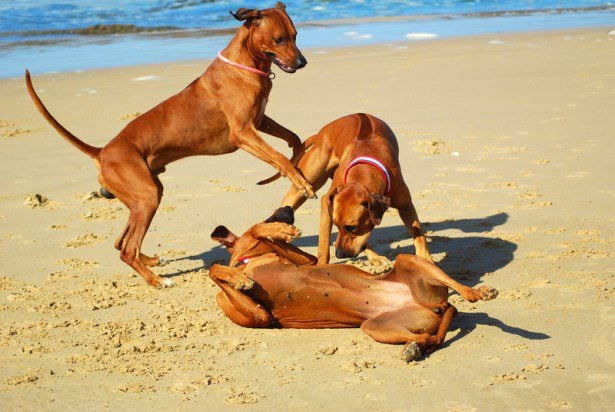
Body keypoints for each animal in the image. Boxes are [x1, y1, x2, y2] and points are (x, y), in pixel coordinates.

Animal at [24, 1, 316, 288]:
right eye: (279, 39)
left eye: (296, 36)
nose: (302, 62)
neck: (243, 65)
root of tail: (103, 151)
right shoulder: (243, 133)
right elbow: (278, 156)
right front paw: (301, 182)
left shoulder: (260, 120)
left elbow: (292, 138)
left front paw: (297, 160)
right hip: (147, 196)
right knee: (127, 249)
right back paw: (157, 281)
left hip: (143, 196)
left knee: (120, 243)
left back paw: (151, 261)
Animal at [209, 208, 498, 362]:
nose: (289, 209)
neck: (247, 261)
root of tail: (438, 306)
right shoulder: (261, 316)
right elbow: (216, 269)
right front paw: (237, 277)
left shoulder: (306, 261)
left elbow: (255, 233)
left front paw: (278, 232)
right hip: (378, 326)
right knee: (429, 337)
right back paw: (413, 348)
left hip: (408, 263)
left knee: (462, 293)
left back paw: (480, 292)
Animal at [270, 112, 434, 266]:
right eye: (335, 224)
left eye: (351, 227)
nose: (339, 254)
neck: (364, 171)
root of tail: (322, 132)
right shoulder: (327, 202)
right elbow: (323, 243)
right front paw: (322, 266)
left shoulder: (405, 205)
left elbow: (418, 233)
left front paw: (426, 259)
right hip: (304, 184)